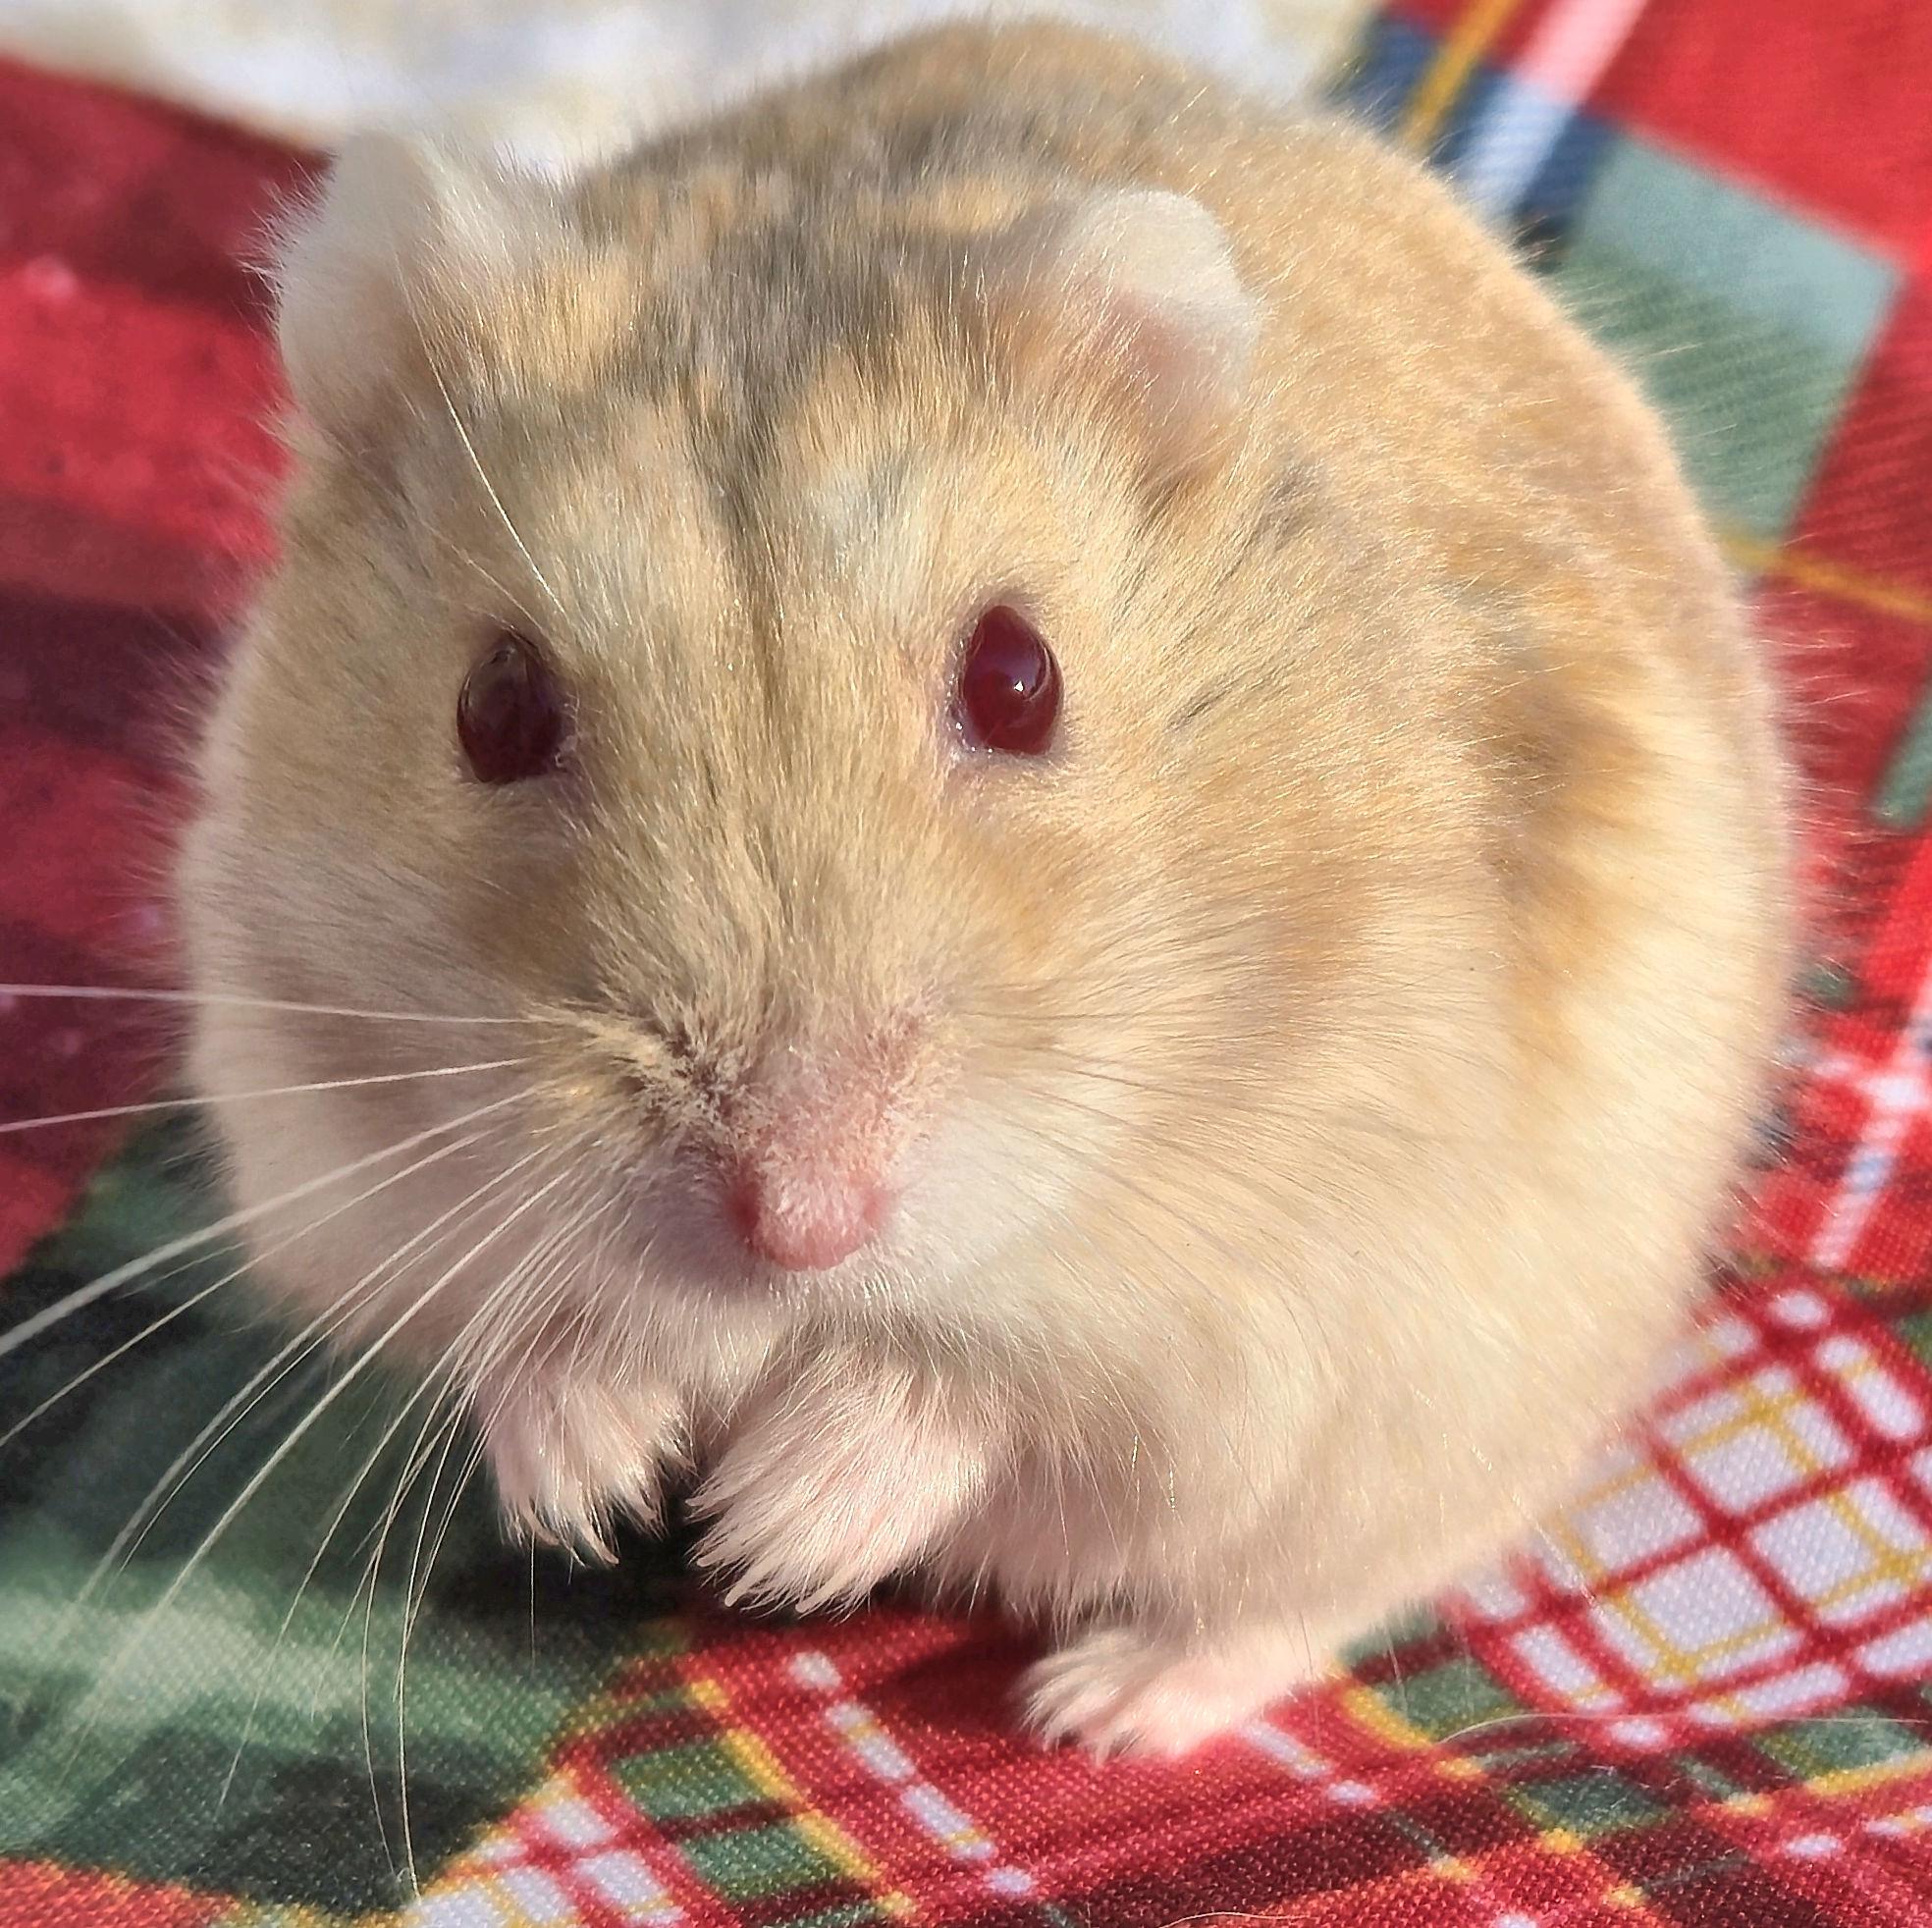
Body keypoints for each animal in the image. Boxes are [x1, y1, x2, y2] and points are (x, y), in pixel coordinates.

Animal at [176, 21, 1792, 1756]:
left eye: (1021, 680)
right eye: (494, 710)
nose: (803, 1221)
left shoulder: (1265, 1289)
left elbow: (982, 1388)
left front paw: (767, 1533)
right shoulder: (326, 1147)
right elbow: (519, 1327)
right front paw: (601, 1492)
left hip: (1451, 1418)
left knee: (1295, 1599)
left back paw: (1100, 1709)